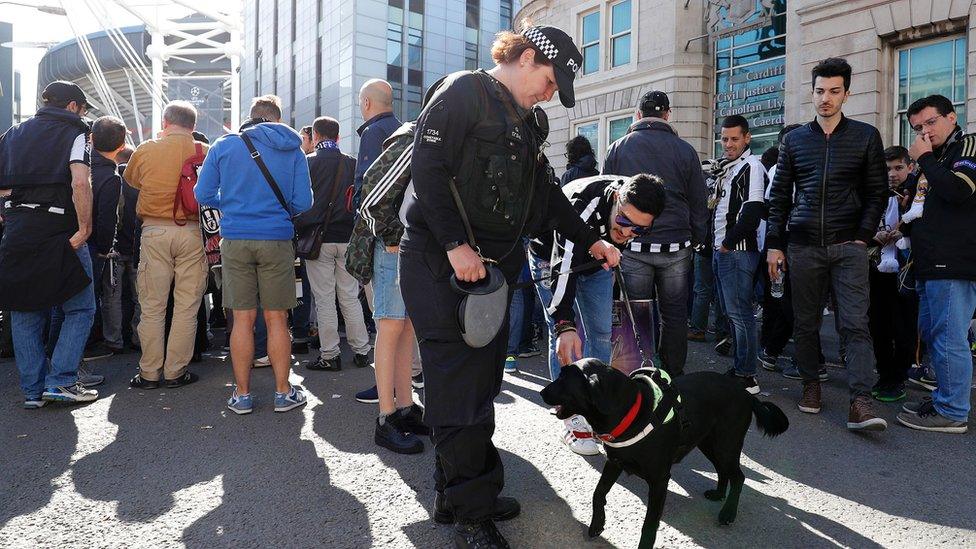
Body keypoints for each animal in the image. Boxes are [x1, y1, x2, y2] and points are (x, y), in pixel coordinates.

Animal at [536, 358, 788, 544]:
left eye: (563, 379)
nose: (541, 392)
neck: (632, 412)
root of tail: (746, 394)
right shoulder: (614, 463)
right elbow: (598, 494)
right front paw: (597, 523)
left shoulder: (659, 481)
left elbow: (649, 525)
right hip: (709, 443)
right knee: (723, 471)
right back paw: (718, 495)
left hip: (726, 445)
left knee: (739, 477)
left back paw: (728, 513)